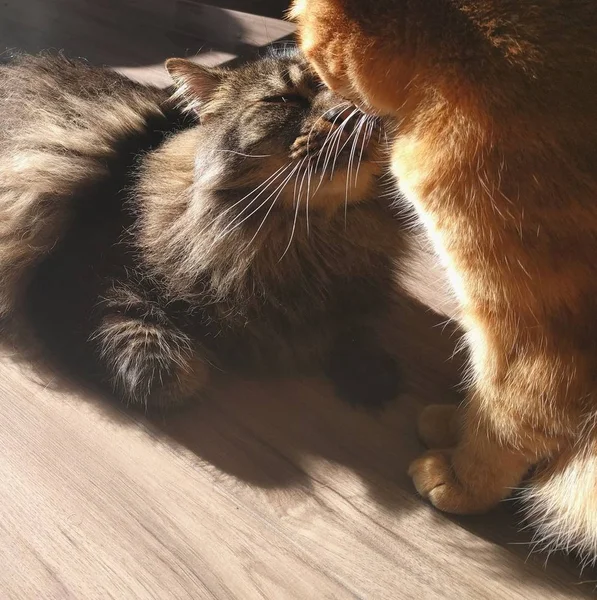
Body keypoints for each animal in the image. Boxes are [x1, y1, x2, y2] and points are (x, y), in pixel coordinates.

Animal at [292, 1, 596, 564]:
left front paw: (462, 478)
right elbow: (483, 392)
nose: (325, 110)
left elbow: (504, 417)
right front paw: (456, 425)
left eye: (308, 50)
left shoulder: (535, 331)